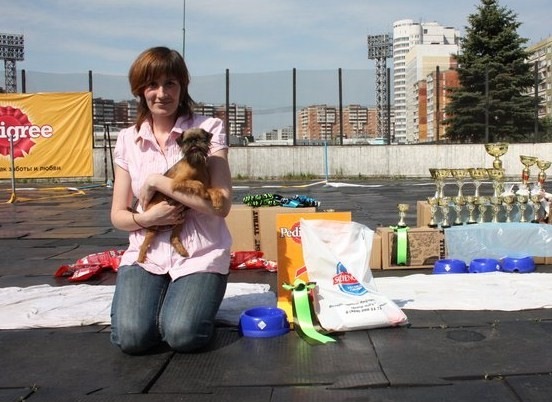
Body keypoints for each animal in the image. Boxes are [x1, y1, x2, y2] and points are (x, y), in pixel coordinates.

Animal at [136, 128, 223, 263]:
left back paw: (182, 250)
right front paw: (203, 193)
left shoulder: (208, 185)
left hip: (180, 220)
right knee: (145, 243)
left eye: (201, 138)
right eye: (186, 141)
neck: (195, 163)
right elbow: (197, 183)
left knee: (173, 237)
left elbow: (215, 190)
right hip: (154, 224)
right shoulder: (178, 182)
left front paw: (218, 201)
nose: (194, 141)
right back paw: (140, 258)